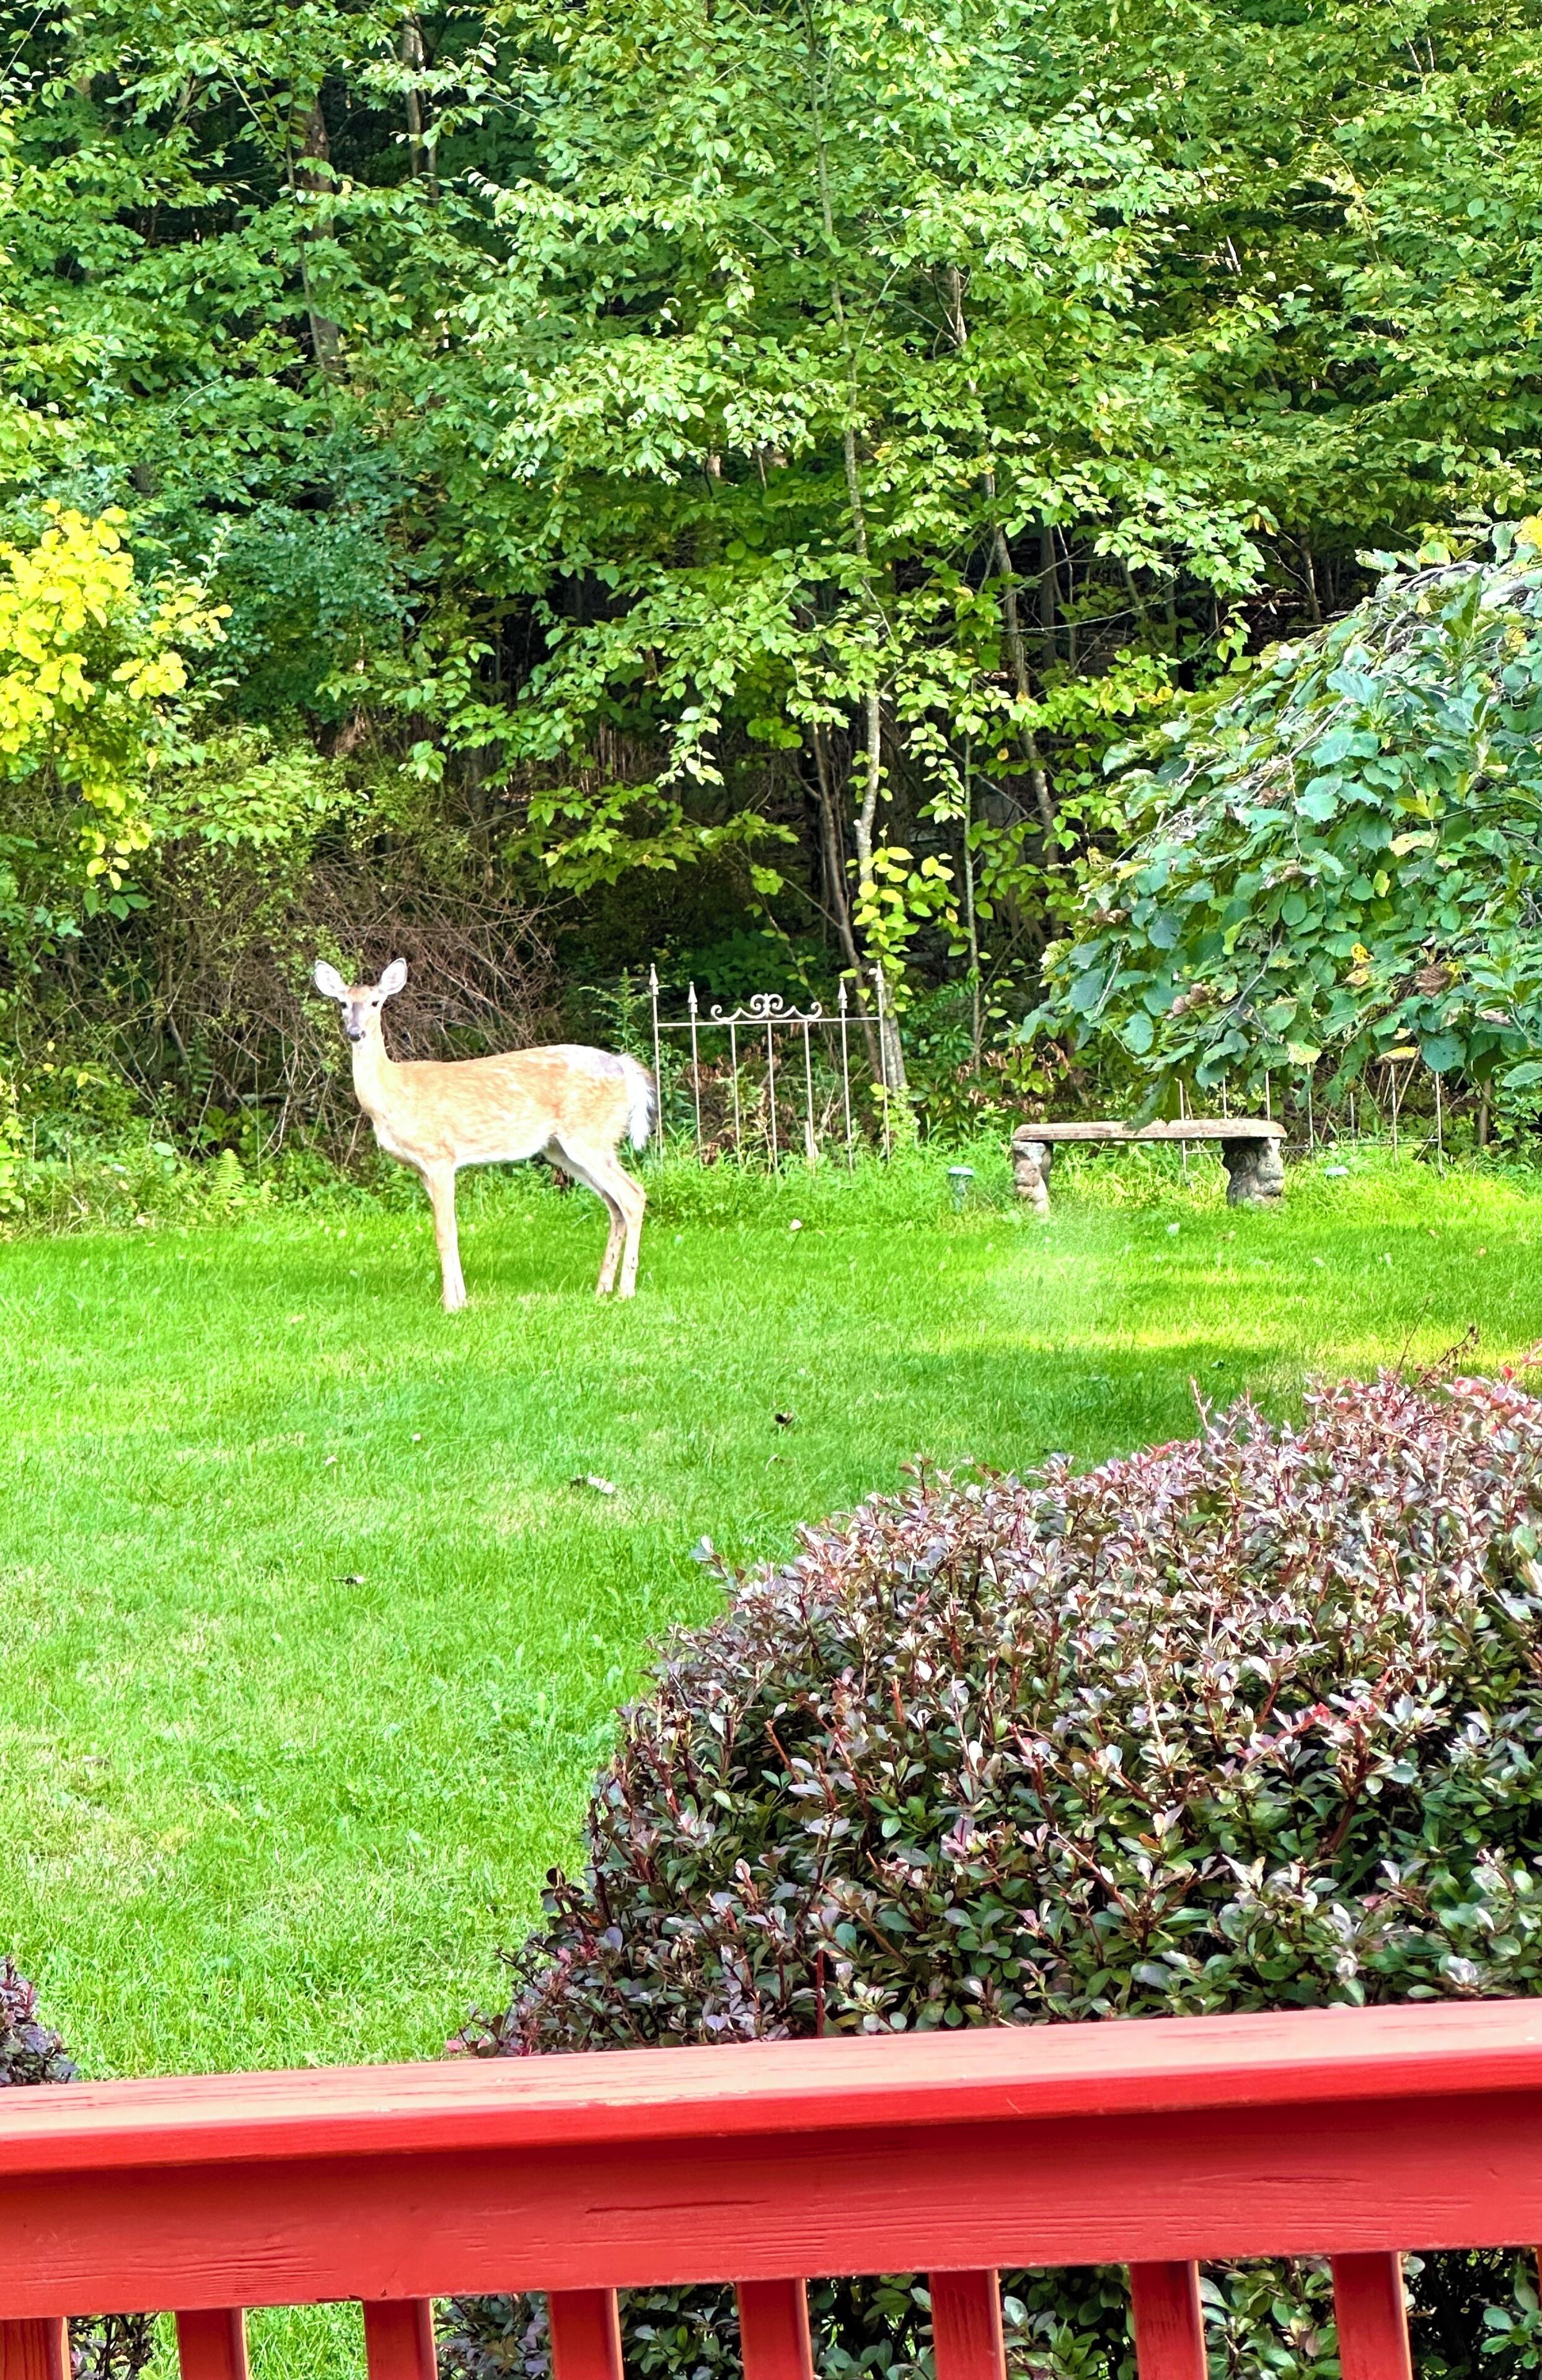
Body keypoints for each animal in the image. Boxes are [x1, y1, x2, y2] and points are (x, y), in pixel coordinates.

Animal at [313, 958, 653, 1308]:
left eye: (375, 1002)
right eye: (343, 1003)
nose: (355, 1032)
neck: (392, 1093)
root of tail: (625, 1068)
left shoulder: (440, 1155)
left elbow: (444, 1231)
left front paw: (451, 1304)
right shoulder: (422, 1168)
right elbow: (450, 1229)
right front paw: (462, 1300)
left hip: (590, 1135)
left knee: (633, 1195)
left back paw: (626, 1289)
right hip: (562, 1147)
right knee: (614, 1204)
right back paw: (603, 1288)